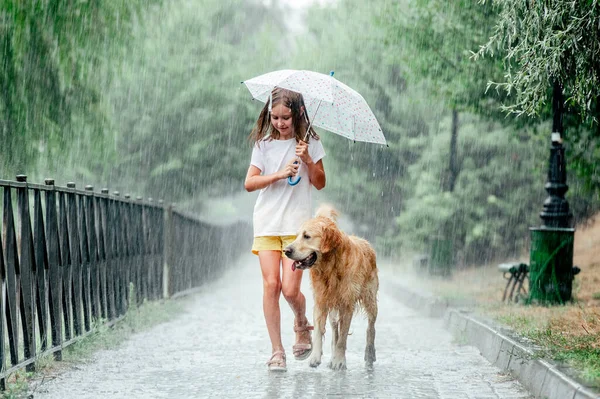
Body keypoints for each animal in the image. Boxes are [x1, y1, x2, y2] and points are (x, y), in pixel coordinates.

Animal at [284, 206, 378, 372]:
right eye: (296, 236)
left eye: (307, 236)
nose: (286, 251)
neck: (330, 267)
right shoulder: (321, 301)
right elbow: (320, 332)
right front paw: (316, 357)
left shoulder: (347, 304)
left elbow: (343, 337)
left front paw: (340, 361)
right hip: (333, 307)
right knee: (335, 330)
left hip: (370, 299)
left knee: (370, 327)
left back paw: (369, 355)